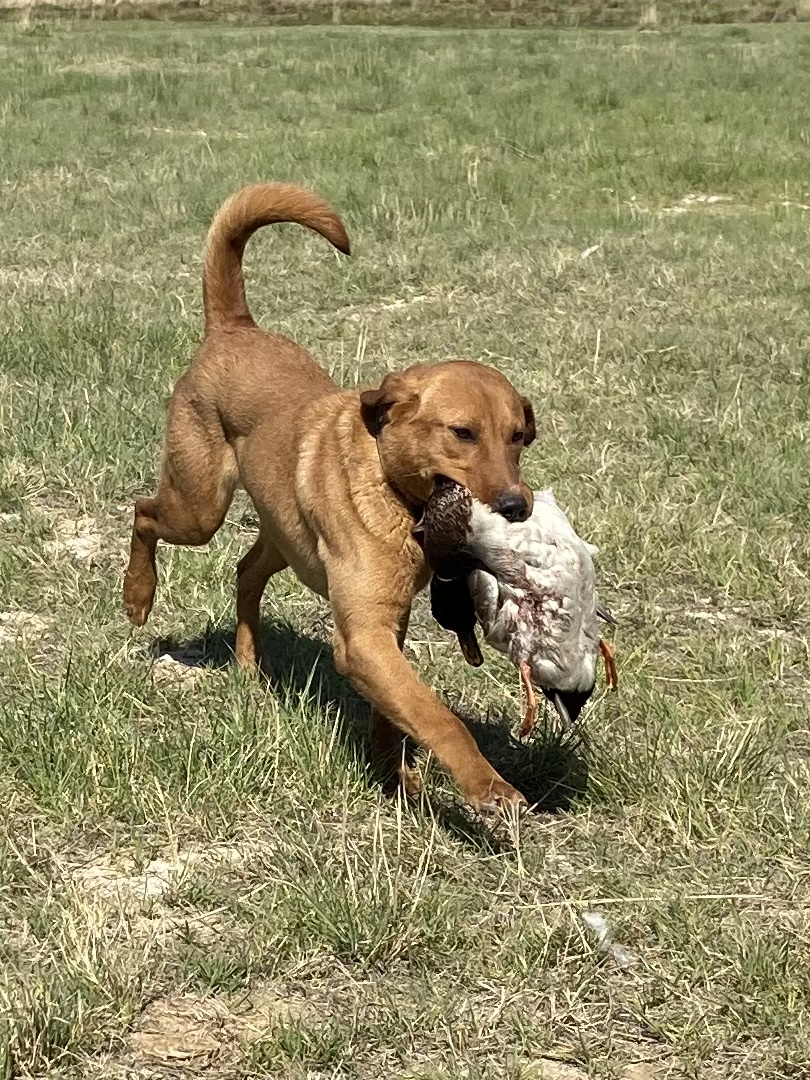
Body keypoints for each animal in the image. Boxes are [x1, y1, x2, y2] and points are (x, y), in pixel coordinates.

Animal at [125, 181, 540, 812]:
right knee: (144, 514)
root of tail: (233, 327)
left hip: (282, 535)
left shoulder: (384, 626)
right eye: (462, 432)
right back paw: (137, 597)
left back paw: (250, 668)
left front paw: (393, 774)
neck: (393, 494)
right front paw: (486, 786)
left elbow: (396, 715)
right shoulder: (363, 638)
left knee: (245, 572)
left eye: (518, 436)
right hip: (198, 507)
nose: (517, 507)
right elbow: (437, 717)